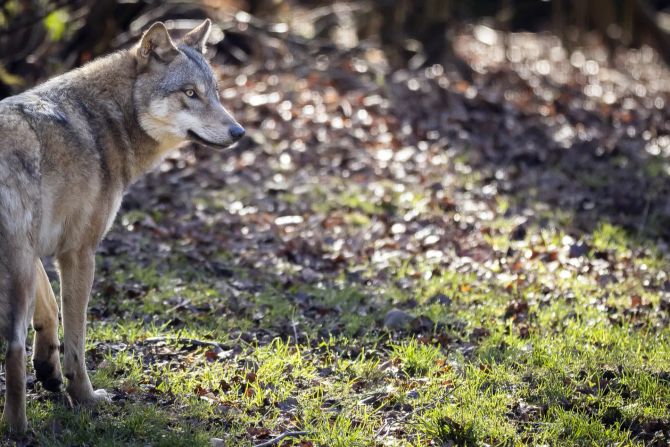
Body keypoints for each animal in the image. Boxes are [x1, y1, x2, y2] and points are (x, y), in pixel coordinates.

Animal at [0, 19, 244, 432]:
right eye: (190, 93)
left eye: (214, 93)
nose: (239, 132)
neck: (106, 120)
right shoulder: (78, 252)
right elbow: (77, 340)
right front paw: (85, 397)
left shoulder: (40, 249)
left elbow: (49, 308)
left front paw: (48, 369)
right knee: (12, 346)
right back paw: (19, 430)